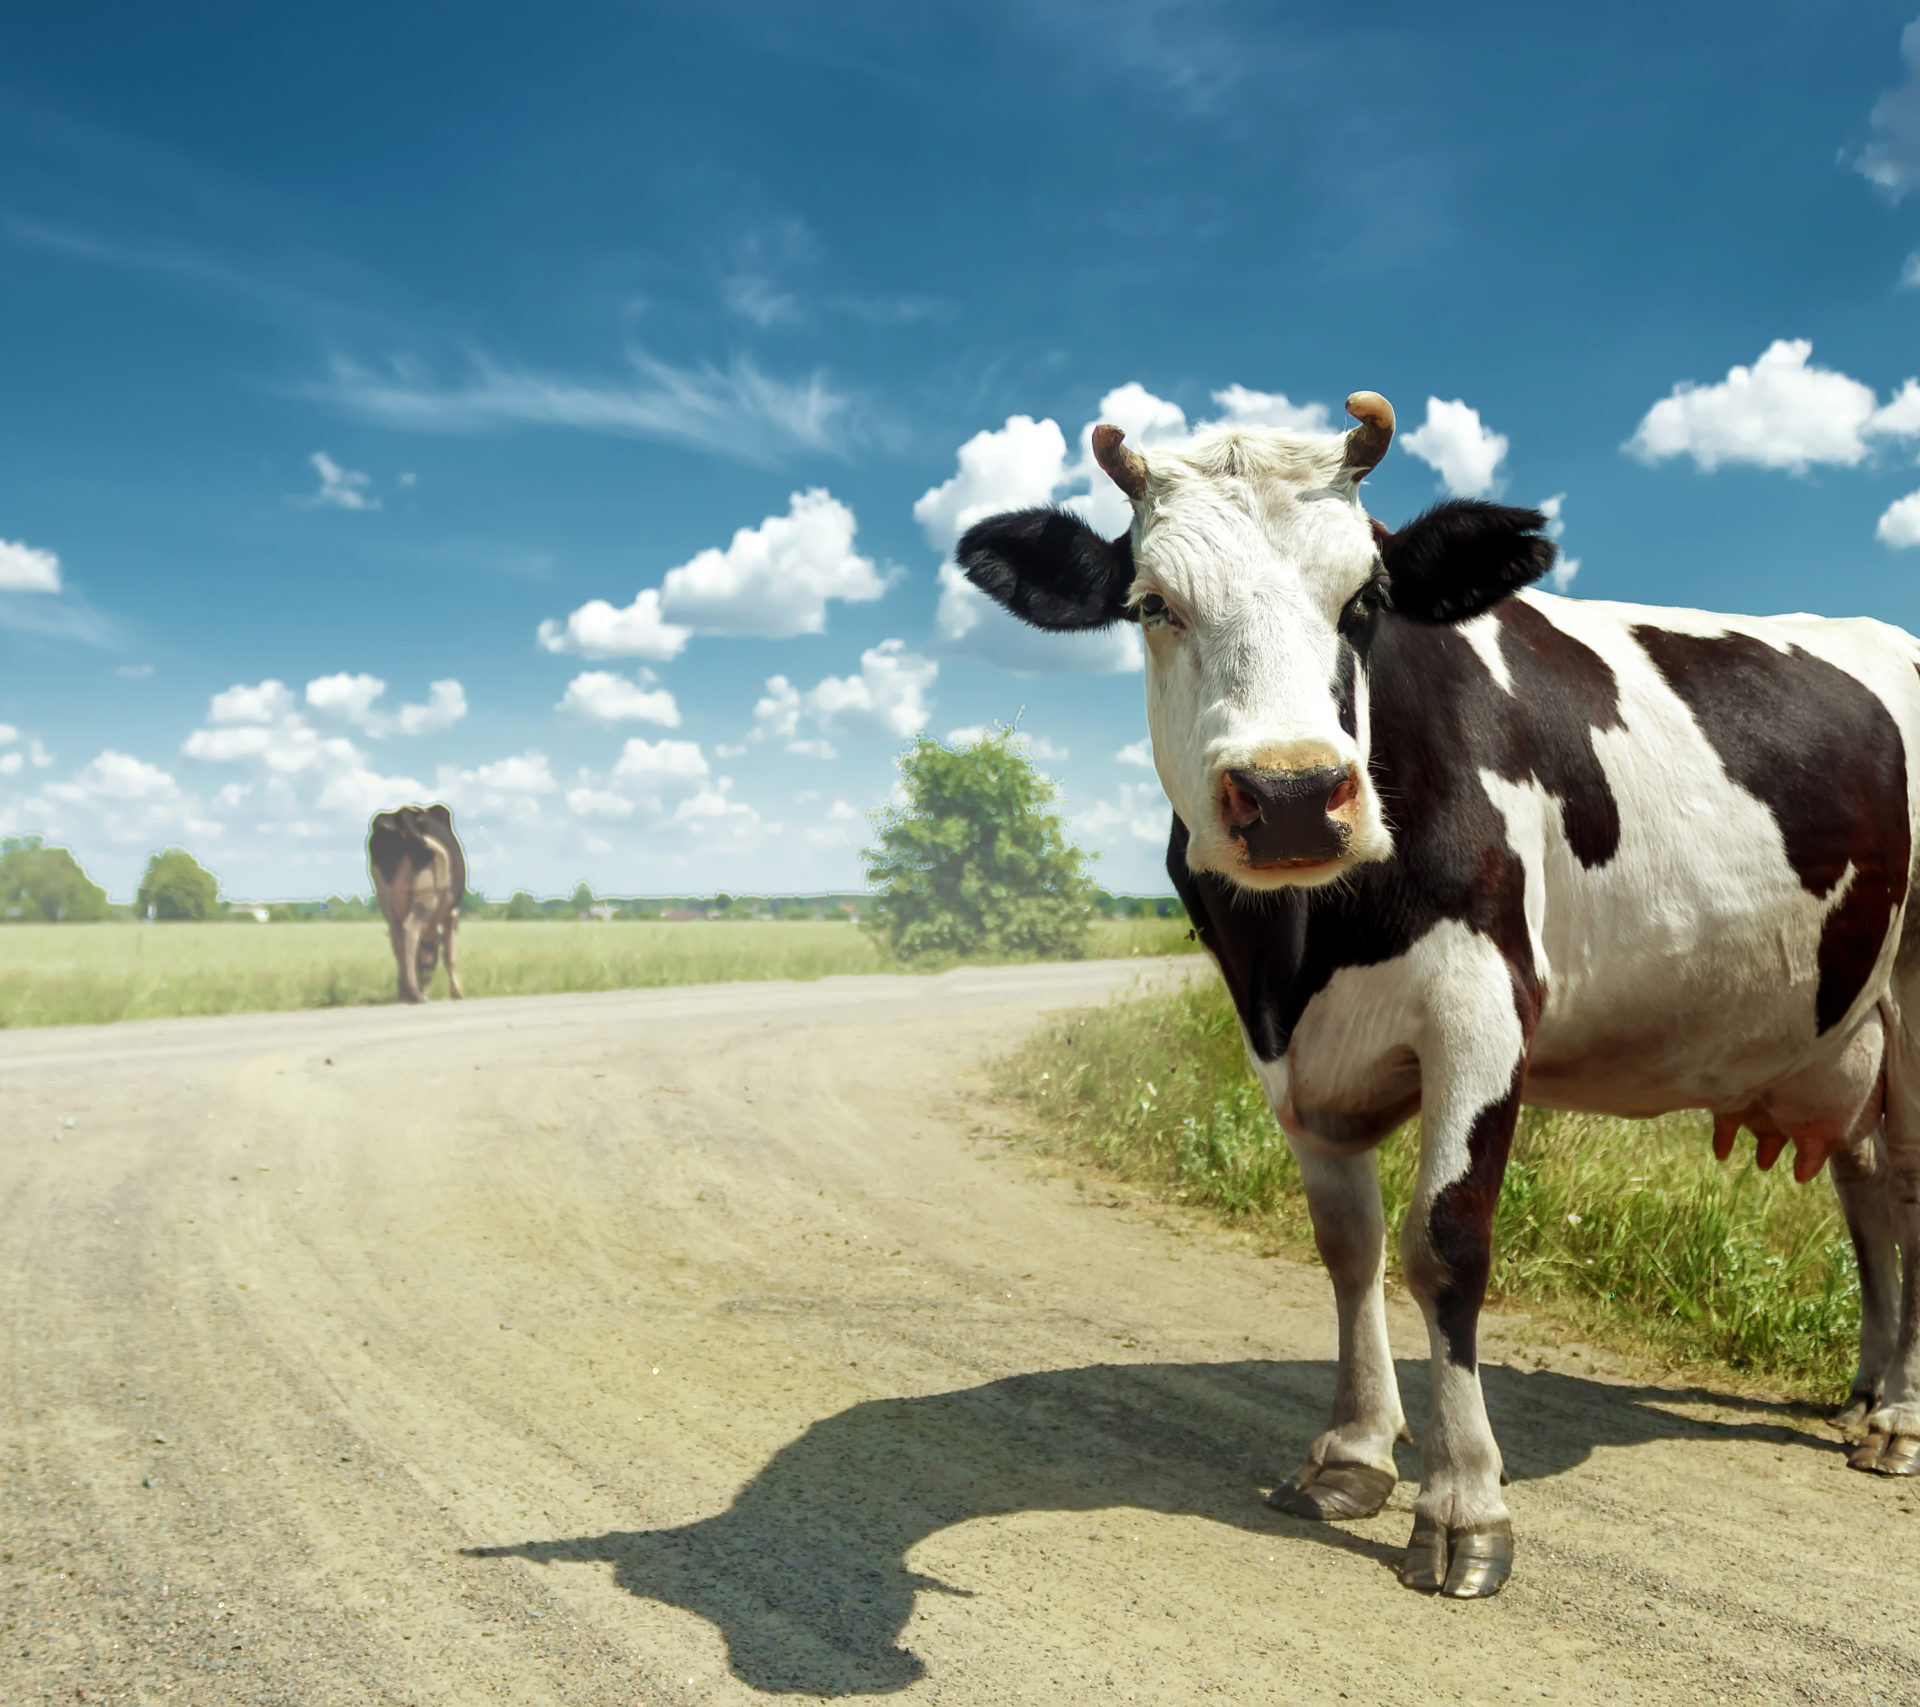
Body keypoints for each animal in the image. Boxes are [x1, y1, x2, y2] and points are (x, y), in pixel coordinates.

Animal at [368, 803, 466, 1004]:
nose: (425, 980)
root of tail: (400, 815)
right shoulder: (452, 912)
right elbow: (450, 954)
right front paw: (457, 992)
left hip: (385, 896)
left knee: (397, 938)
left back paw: (405, 991)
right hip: (424, 895)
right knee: (410, 930)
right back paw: (415, 993)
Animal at [955, 393, 1920, 1599]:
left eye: (1365, 601)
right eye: (1152, 604)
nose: (1288, 795)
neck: (1307, 946)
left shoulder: (1484, 1004)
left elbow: (1443, 1243)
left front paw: (1463, 1503)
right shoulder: (1285, 1044)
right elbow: (1348, 1242)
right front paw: (1353, 1453)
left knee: (1912, 1189)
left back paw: (1898, 1418)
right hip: (1850, 1023)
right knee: (1874, 1188)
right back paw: (1869, 1394)